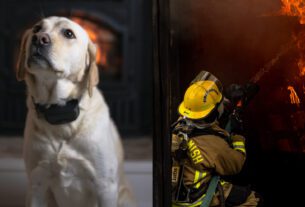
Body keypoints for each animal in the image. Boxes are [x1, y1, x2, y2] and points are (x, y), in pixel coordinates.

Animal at [16, 16, 134, 207]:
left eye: (68, 33)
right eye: (36, 28)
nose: (39, 38)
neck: (59, 113)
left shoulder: (105, 186)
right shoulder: (37, 183)